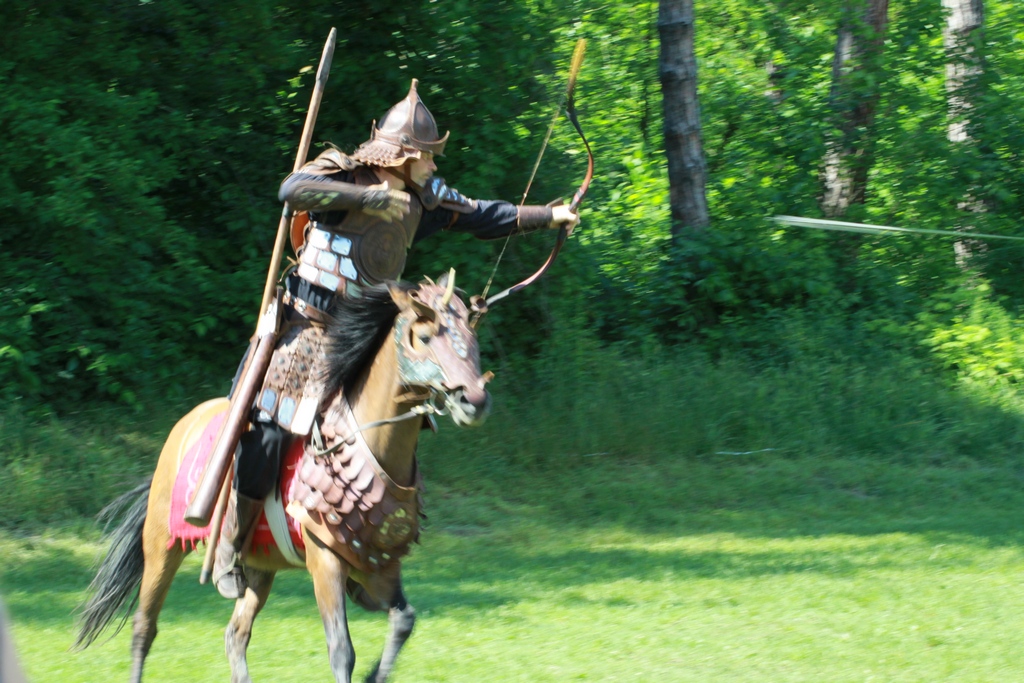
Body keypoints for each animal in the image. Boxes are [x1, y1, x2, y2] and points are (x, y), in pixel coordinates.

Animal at [74, 277, 493, 683]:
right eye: (425, 337)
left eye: (472, 339)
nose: (474, 400)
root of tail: (184, 428)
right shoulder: (325, 561)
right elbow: (342, 651)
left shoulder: (381, 568)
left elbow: (404, 620)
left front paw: (376, 675)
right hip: (163, 545)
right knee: (144, 628)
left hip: (260, 568)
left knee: (235, 634)